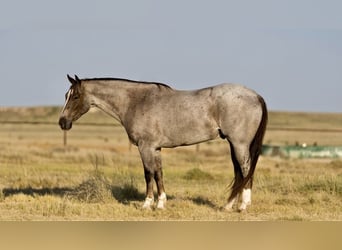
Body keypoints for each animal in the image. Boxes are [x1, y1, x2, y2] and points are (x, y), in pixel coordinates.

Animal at [58, 74, 268, 211]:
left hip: (239, 144)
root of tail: (256, 95)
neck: (136, 101)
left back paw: (243, 206)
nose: (62, 122)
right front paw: (161, 203)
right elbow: (159, 174)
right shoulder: (156, 148)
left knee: (246, 170)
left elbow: (148, 174)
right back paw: (228, 205)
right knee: (239, 173)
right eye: (65, 95)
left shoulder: (146, 147)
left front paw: (147, 204)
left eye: (75, 96)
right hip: (234, 145)